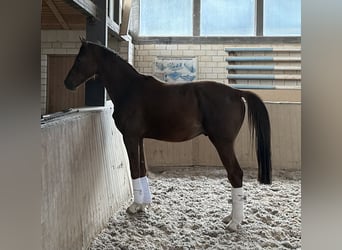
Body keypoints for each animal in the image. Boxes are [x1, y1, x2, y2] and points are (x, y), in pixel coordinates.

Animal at [65, 38, 272, 230]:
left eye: (80, 58)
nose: (67, 82)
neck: (130, 88)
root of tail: (236, 92)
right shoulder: (139, 138)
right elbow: (142, 169)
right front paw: (144, 205)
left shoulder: (130, 137)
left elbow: (134, 169)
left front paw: (134, 206)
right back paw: (231, 217)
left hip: (223, 143)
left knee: (235, 174)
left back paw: (235, 222)